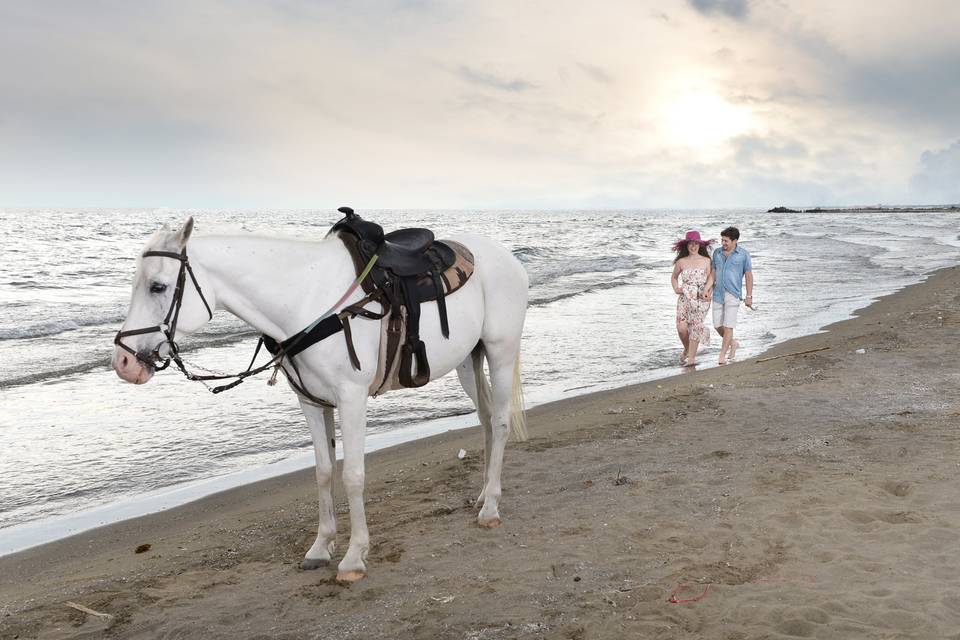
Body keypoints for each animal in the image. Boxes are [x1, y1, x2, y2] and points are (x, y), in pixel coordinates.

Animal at [114, 218, 532, 584]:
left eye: (157, 286)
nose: (123, 362)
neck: (307, 301)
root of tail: (508, 258)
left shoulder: (352, 399)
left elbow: (352, 475)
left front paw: (354, 556)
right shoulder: (311, 402)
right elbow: (323, 472)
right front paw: (321, 546)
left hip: (500, 351)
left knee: (499, 422)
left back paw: (491, 507)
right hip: (468, 360)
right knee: (484, 419)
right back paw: (483, 494)